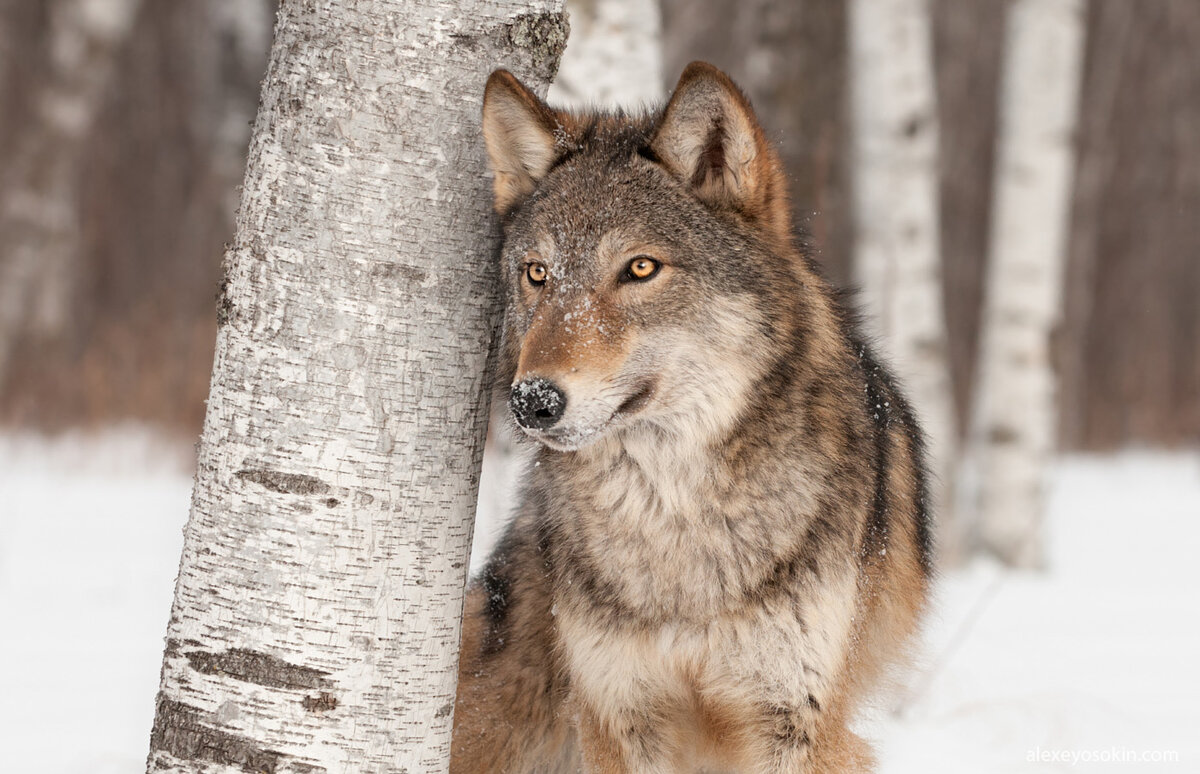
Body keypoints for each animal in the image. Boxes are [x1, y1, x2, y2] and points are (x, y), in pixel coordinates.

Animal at [453, 61, 931, 772]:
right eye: (536, 273)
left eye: (640, 267)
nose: (532, 400)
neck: (673, 521)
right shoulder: (621, 714)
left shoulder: (797, 722)